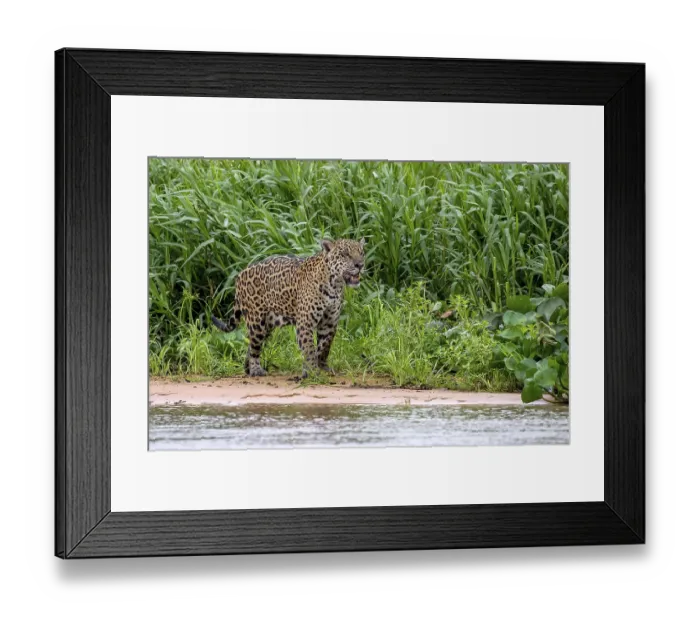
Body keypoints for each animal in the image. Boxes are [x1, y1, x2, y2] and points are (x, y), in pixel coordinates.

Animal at [211, 238, 365, 377]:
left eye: (361, 252)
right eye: (345, 254)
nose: (360, 265)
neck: (334, 285)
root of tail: (240, 274)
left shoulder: (329, 322)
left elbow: (324, 347)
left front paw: (321, 367)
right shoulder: (305, 322)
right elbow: (309, 348)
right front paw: (313, 372)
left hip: (267, 325)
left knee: (251, 346)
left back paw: (247, 368)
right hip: (256, 322)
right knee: (254, 347)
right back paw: (255, 370)